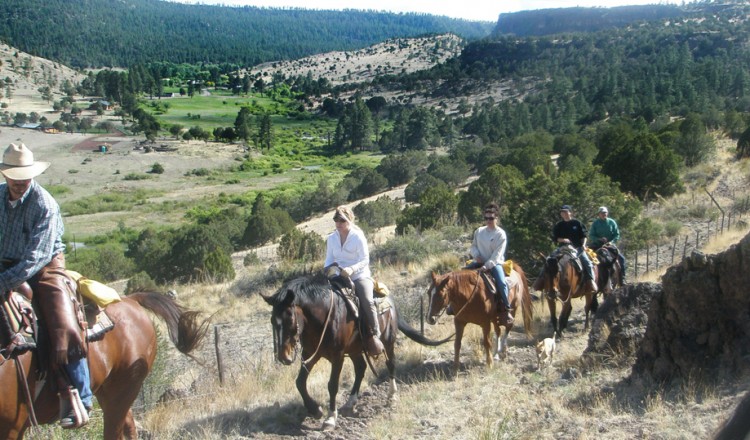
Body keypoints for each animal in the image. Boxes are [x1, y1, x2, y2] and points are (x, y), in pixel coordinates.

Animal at [0, 292, 209, 440]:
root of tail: (130, 299)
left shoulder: (12, 427)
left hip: (123, 390)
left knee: (114, 431)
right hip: (108, 391)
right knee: (128, 426)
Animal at [264, 274, 452, 432]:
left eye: (290, 318)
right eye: (272, 320)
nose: (283, 357)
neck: (323, 316)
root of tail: (390, 300)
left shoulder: (338, 355)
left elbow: (332, 385)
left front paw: (330, 418)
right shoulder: (311, 353)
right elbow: (300, 382)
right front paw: (315, 410)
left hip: (388, 342)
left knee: (390, 364)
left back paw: (391, 396)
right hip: (354, 349)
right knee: (361, 368)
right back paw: (350, 403)